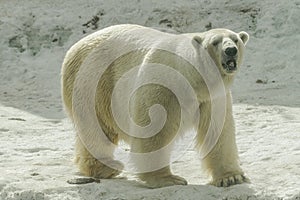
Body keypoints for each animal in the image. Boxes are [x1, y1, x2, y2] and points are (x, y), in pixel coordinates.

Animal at [60, 24, 248, 188]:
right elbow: (154, 131)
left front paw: (231, 177)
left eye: (236, 39)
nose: (231, 50)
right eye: (215, 42)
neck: (190, 78)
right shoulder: (162, 85)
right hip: (94, 83)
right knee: (97, 128)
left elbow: (218, 131)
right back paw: (107, 168)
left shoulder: (211, 97)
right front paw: (168, 179)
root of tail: (74, 47)